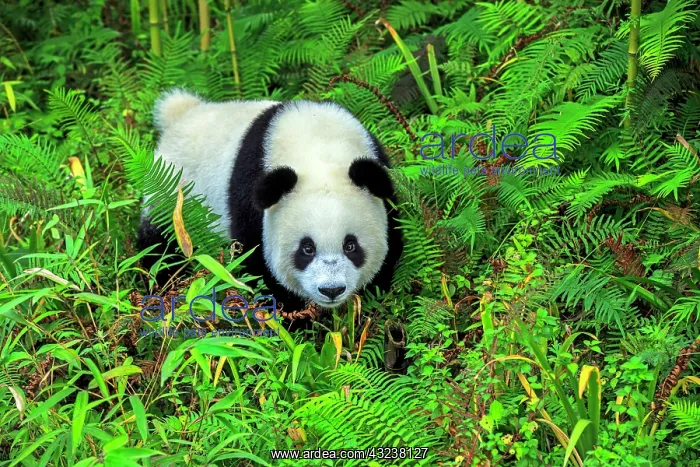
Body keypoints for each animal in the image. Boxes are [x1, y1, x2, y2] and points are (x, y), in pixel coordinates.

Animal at [137, 89, 403, 319]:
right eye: (307, 249)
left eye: (351, 246)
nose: (331, 290)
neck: (318, 149)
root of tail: (182, 113)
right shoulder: (252, 200)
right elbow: (257, 264)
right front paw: (294, 317)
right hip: (176, 197)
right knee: (161, 244)